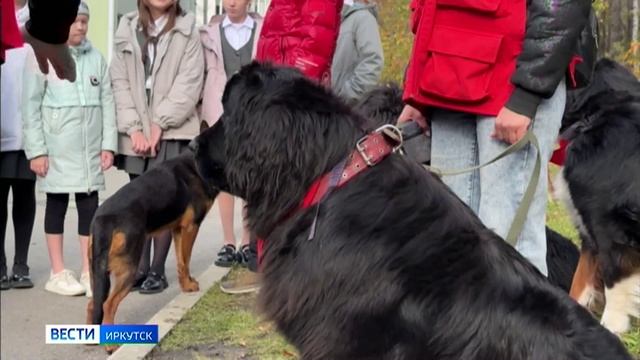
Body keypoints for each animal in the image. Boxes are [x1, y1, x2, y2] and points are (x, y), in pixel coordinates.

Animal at [87, 152, 221, 352]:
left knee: (93, 303)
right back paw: (111, 345)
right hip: (127, 270)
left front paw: (186, 284)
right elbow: (186, 259)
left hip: (98, 272)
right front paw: (189, 286)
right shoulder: (191, 227)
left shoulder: (178, 230)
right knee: (108, 305)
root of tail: (103, 219)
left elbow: (181, 261)